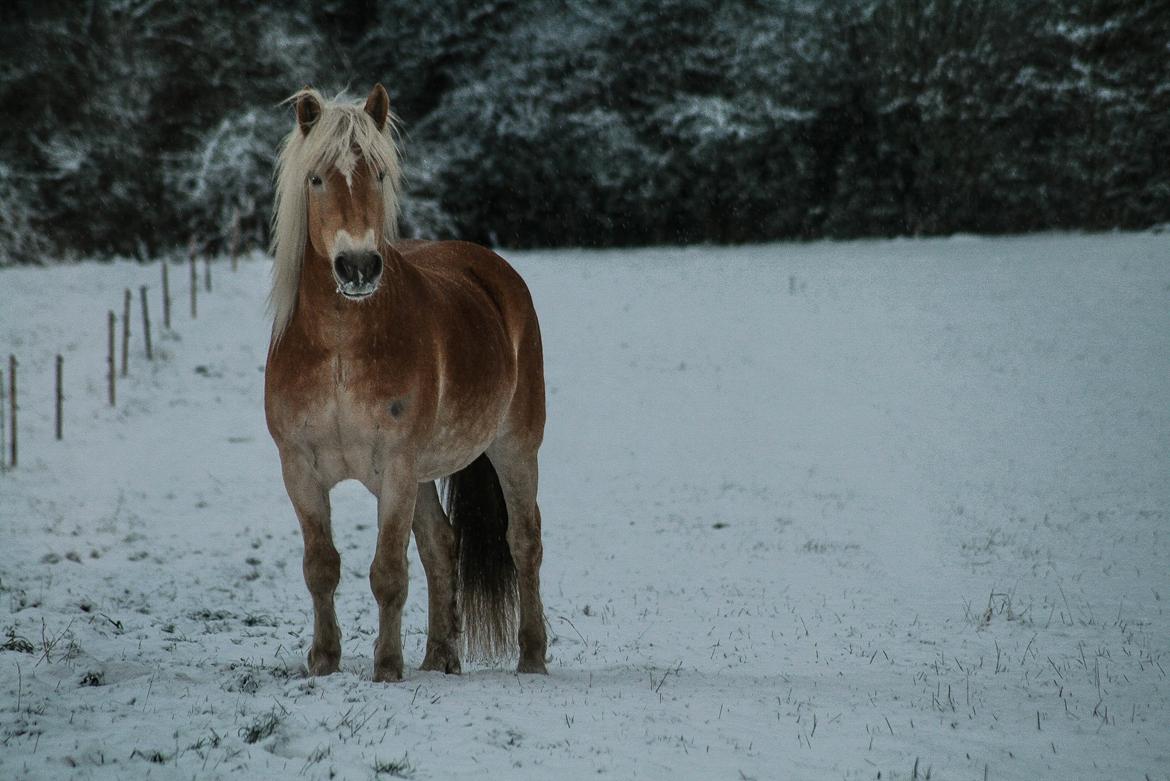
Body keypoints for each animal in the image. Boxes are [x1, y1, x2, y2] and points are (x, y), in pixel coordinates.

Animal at [265, 85, 547, 678]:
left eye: (378, 174)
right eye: (316, 178)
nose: (357, 267)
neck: (339, 347)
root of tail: (494, 272)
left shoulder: (395, 466)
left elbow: (388, 573)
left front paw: (387, 668)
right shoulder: (299, 467)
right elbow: (321, 566)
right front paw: (324, 661)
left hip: (514, 447)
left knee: (524, 541)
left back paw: (532, 657)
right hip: (423, 474)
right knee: (442, 544)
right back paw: (439, 657)